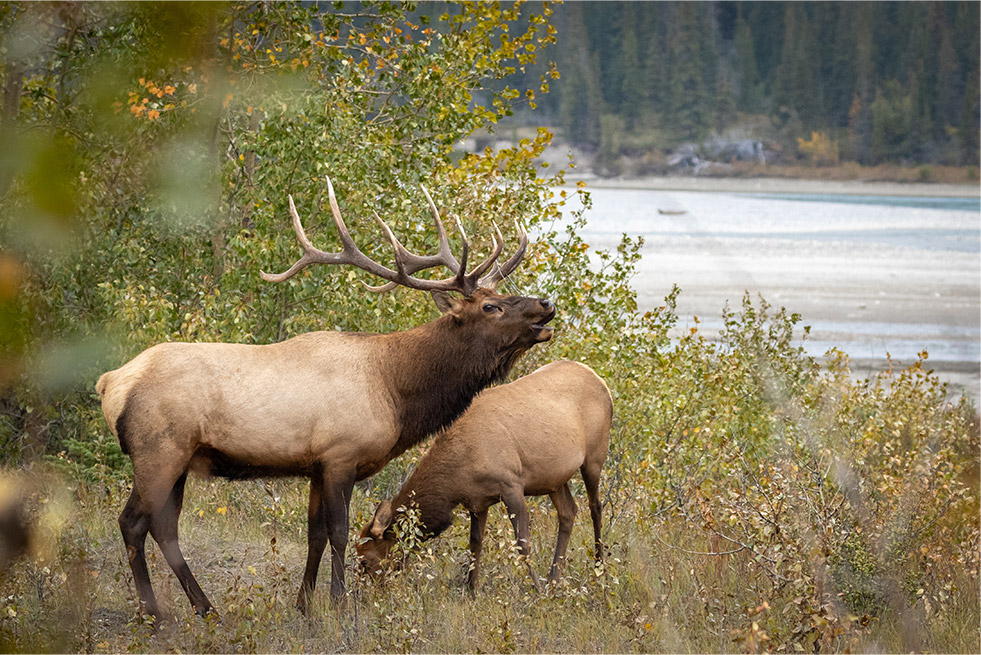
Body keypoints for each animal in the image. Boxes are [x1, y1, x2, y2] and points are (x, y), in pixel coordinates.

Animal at [95, 176, 556, 622]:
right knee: (136, 523)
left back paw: (195, 608)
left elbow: (314, 534)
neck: (395, 391)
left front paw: (304, 605)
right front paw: (339, 603)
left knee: (158, 527)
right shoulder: (340, 454)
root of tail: (110, 382)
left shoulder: (315, 464)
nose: (546, 304)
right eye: (491, 306)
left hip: (179, 459)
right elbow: (339, 532)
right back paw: (162, 613)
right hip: (159, 450)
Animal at [357, 360, 612, 592]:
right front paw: (471, 590)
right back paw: (554, 578)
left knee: (595, 507)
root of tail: (600, 380)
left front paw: (537, 590)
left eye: (366, 561)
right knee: (569, 511)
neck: (455, 479)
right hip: (554, 479)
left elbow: (522, 543)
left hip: (594, 458)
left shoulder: (511, 485)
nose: (362, 594)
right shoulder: (477, 501)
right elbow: (475, 543)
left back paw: (598, 567)